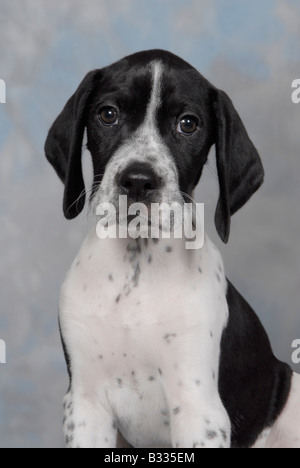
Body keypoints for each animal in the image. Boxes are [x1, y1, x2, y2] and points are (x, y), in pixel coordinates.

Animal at [44, 49, 300, 448]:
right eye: (107, 114)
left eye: (188, 124)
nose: (137, 180)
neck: (137, 266)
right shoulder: (85, 404)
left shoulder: (199, 410)